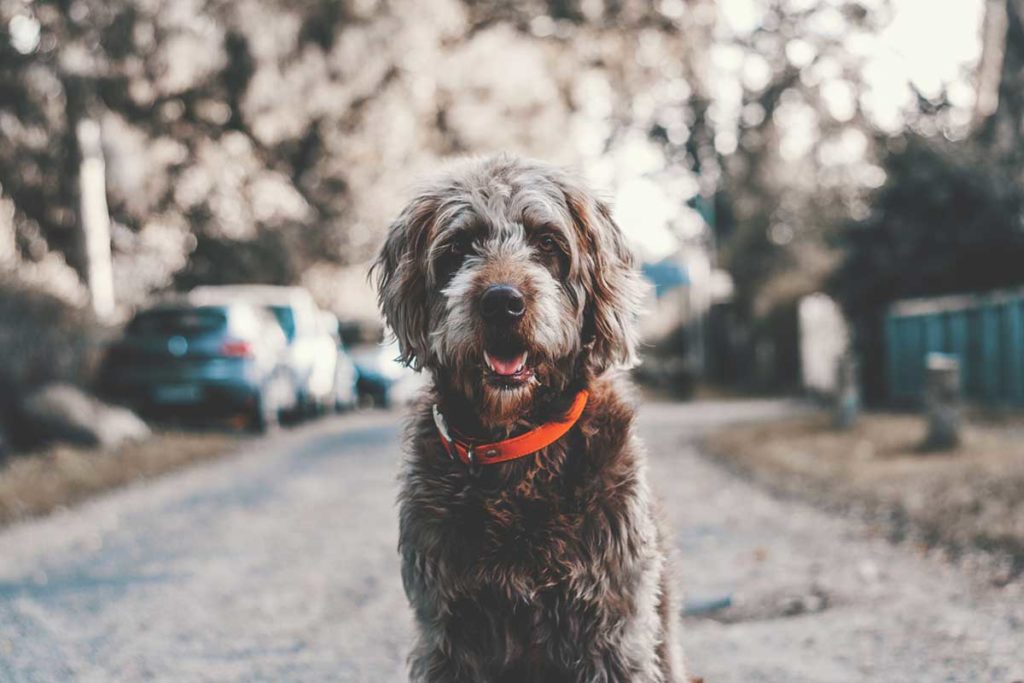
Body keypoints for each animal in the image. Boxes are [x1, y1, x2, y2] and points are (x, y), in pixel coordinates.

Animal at [372, 154, 684, 683]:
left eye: (547, 242)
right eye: (459, 246)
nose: (502, 302)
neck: (517, 448)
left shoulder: (613, 627)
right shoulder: (446, 635)